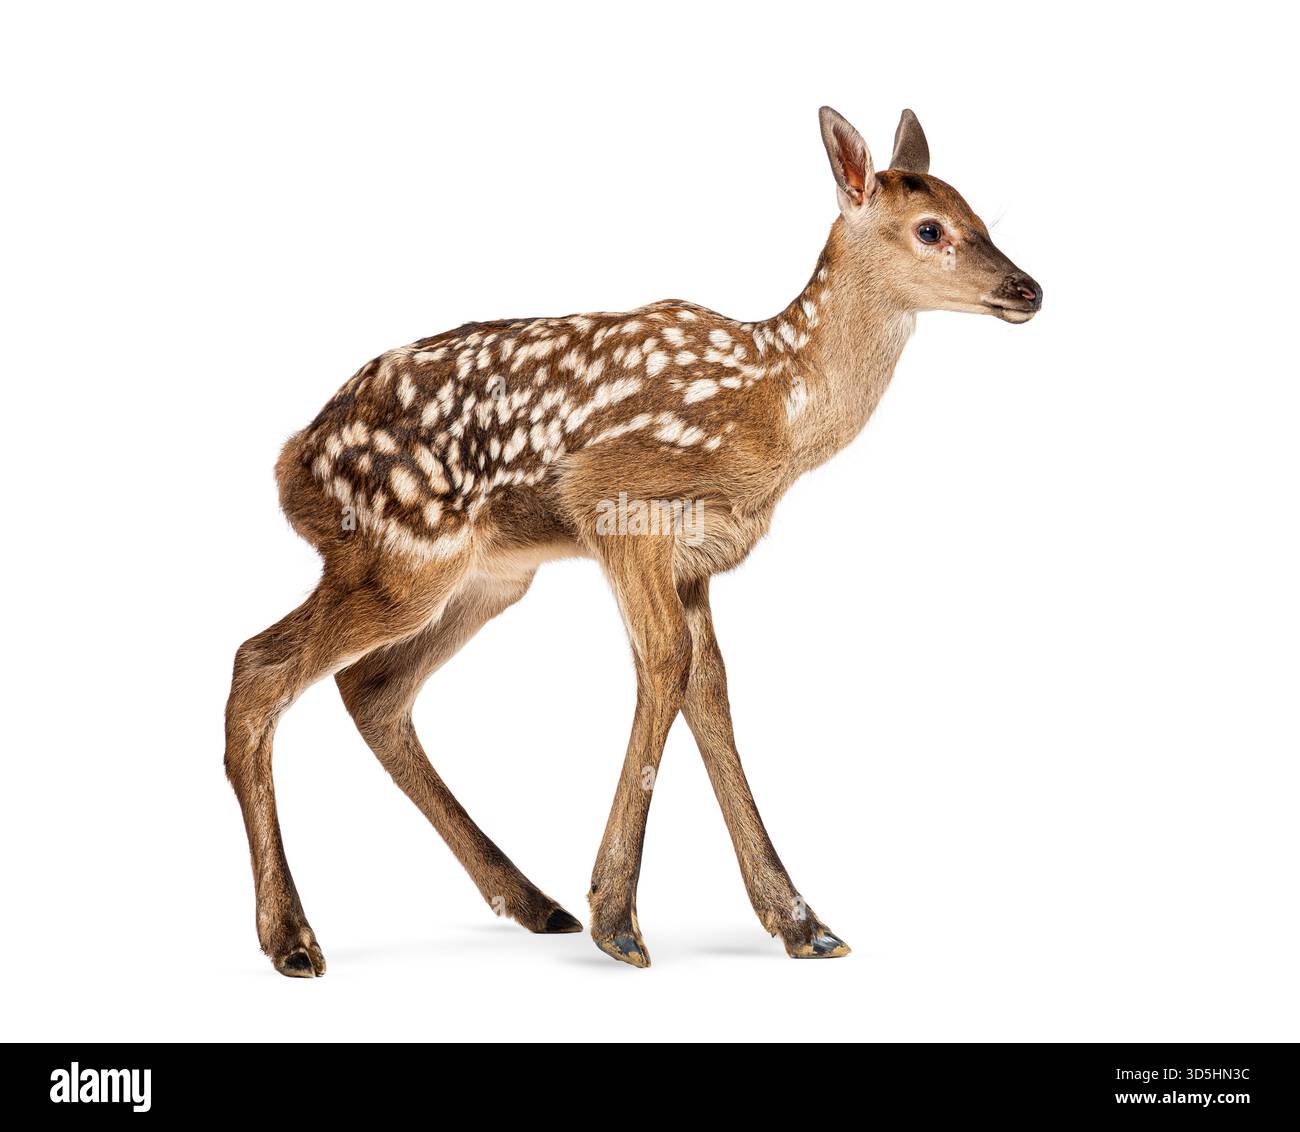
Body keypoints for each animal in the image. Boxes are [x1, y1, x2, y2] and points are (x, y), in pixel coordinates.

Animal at [225, 106, 1041, 976]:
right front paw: (619, 919)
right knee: (259, 667)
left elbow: (710, 688)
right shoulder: (618, 504)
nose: (1029, 289)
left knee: (372, 690)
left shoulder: (700, 555)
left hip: (487, 577)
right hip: (401, 553)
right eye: (930, 229)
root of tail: (294, 461)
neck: (776, 404)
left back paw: (533, 902)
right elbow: (665, 664)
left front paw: (800, 922)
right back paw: (293, 938)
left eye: (980, 215)